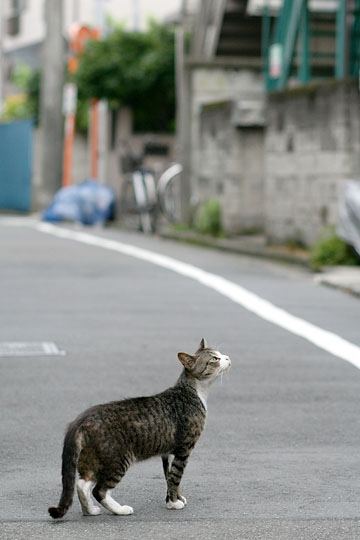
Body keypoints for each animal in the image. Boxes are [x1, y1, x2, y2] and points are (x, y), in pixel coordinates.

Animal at [47, 338, 231, 520]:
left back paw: (90, 510)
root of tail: (80, 419)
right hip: (119, 458)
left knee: (82, 483)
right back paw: (120, 510)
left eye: (220, 354)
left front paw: (174, 499)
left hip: (93, 457)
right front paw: (174, 503)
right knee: (99, 490)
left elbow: (169, 476)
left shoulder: (168, 452)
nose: (228, 357)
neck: (194, 391)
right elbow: (176, 477)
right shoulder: (184, 448)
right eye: (214, 359)